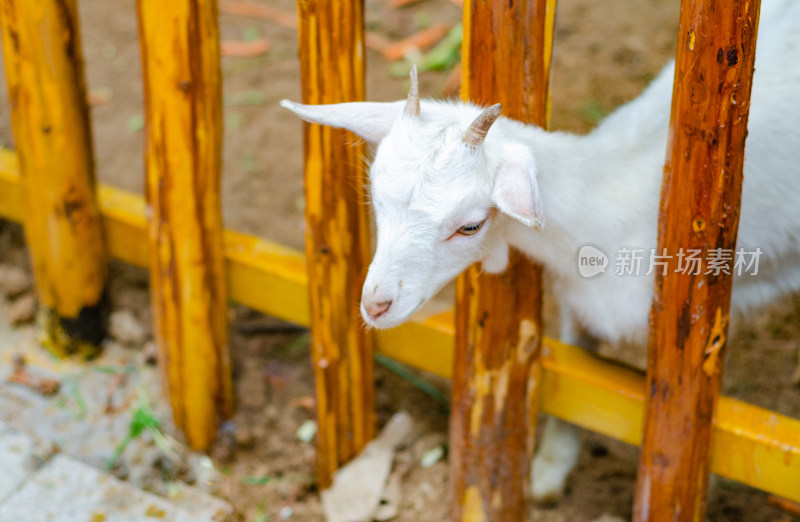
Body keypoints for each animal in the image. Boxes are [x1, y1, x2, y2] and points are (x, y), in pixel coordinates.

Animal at [284, 1, 800, 504]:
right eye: (375, 199)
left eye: (470, 225)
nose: (375, 304)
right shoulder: (577, 303)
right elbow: (579, 378)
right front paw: (550, 471)